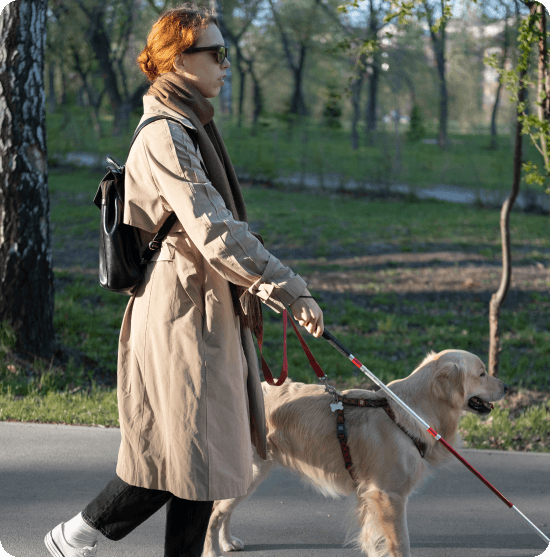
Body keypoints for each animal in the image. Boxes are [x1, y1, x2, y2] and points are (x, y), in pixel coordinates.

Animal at [203, 350, 508, 552]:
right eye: (482, 373)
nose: (507, 386)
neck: (410, 412)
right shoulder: (388, 495)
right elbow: (401, 543)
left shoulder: (372, 496)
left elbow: (374, 540)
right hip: (253, 471)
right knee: (215, 512)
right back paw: (213, 548)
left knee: (223, 510)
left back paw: (227, 542)